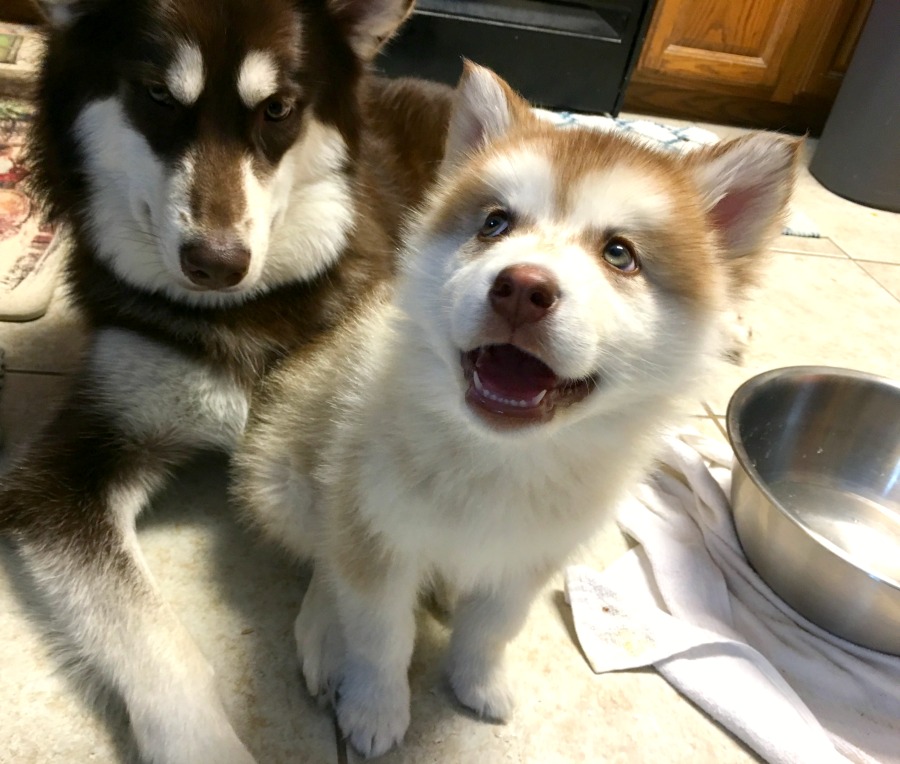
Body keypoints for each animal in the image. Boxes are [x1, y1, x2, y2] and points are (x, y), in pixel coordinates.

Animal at [0, 1, 450, 764]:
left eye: (278, 109)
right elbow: (154, 643)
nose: (217, 263)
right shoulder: (58, 478)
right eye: (156, 95)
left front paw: (341, 632)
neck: (247, 311)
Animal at [234, 62, 800, 756]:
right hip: (283, 479)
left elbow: (492, 628)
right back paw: (322, 632)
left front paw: (478, 683)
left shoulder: (529, 560)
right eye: (495, 224)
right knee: (321, 556)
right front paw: (375, 708)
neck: (502, 457)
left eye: (620, 254)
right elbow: (380, 634)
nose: (521, 288)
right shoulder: (377, 535)